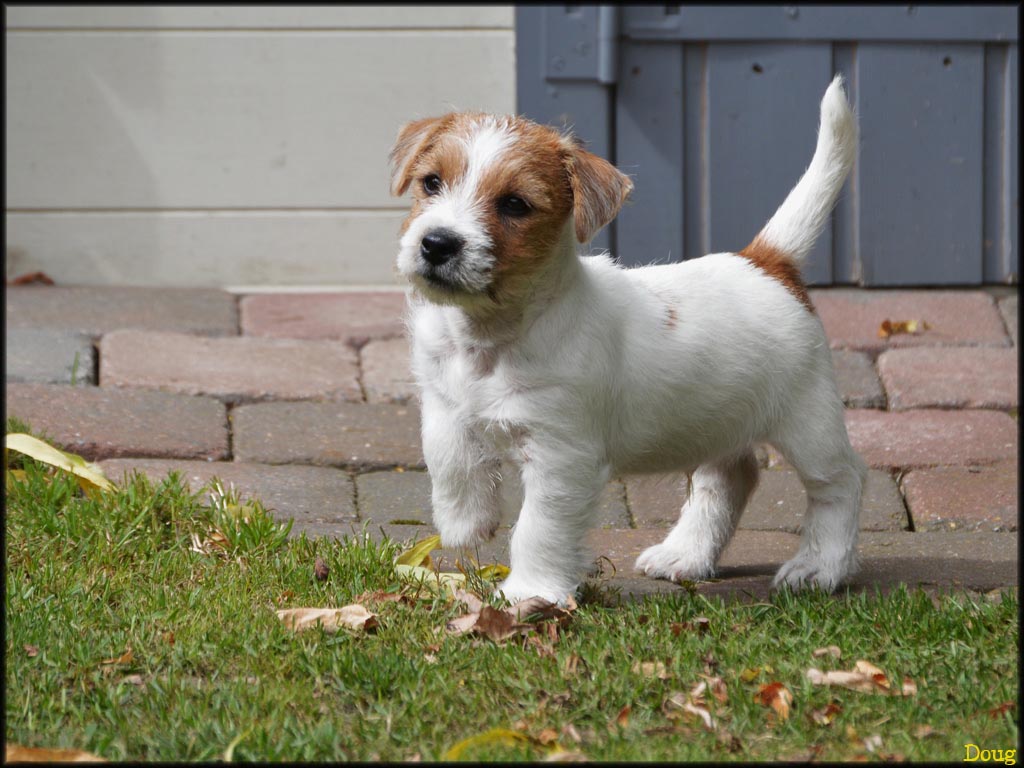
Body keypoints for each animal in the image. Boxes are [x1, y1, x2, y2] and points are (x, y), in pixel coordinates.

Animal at [390, 76, 866, 605]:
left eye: (515, 203)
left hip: (808, 420)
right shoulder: (442, 401)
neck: (490, 335)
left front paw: (529, 592)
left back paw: (818, 567)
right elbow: (447, 455)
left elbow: (539, 527)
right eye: (431, 182)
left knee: (840, 482)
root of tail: (766, 262)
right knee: (729, 479)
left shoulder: (561, 456)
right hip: (718, 418)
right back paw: (686, 555)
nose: (437, 243)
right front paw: (465, 523)